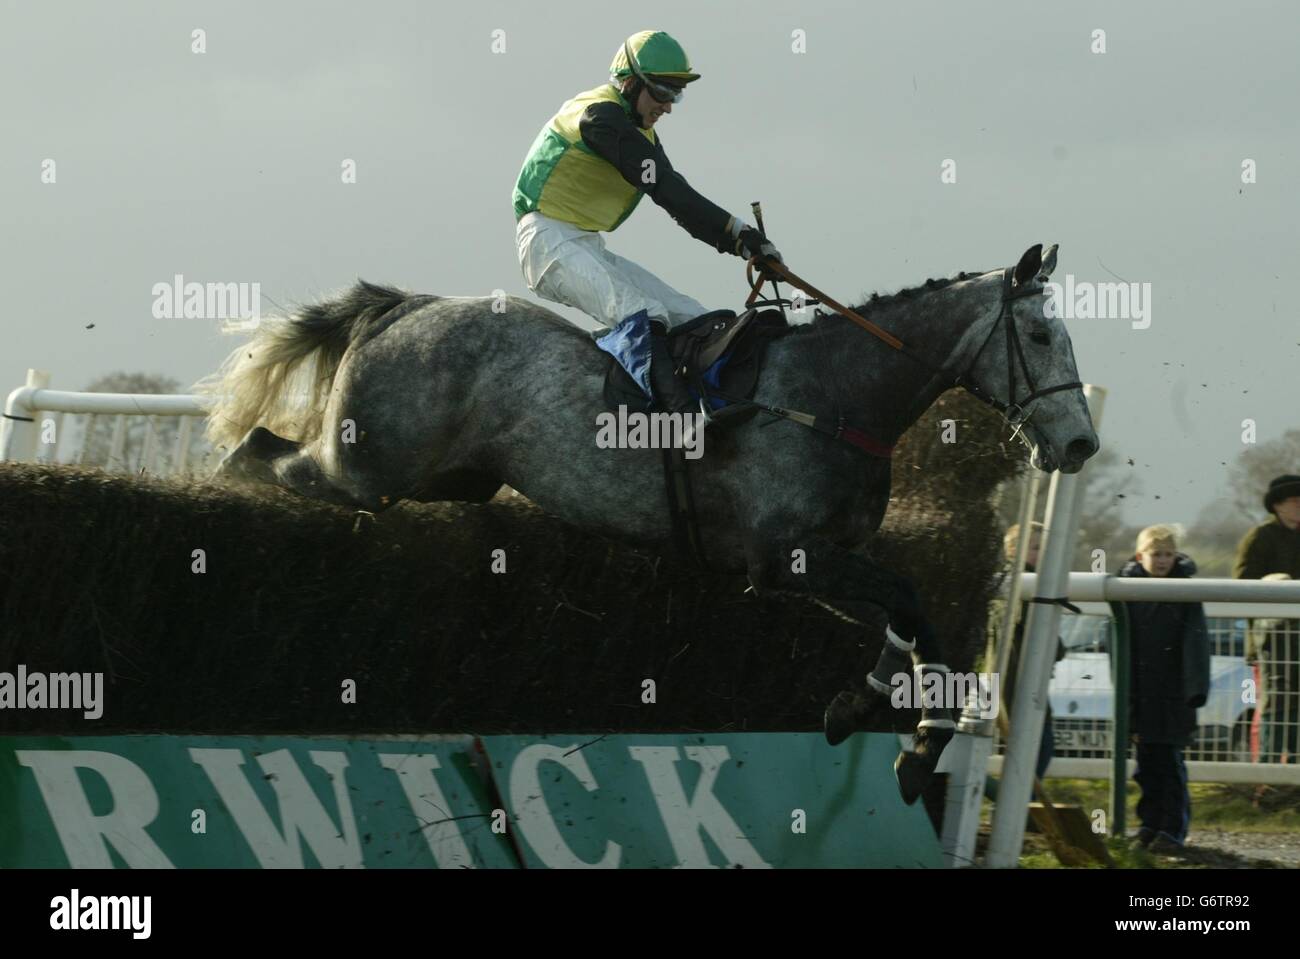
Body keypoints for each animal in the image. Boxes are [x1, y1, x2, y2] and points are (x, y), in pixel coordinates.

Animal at [202, 242, 1097, 795]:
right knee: (256, 448)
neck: (837, 395)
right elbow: (913, 606)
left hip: (445, 480)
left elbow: (910, 618)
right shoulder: (784, 557)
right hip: (364, 469)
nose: (1081, 443)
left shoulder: (809, 562)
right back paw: (216, 505)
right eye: (1040, 333)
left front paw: (874, 721)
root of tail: (403, 306)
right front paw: (911, 738)